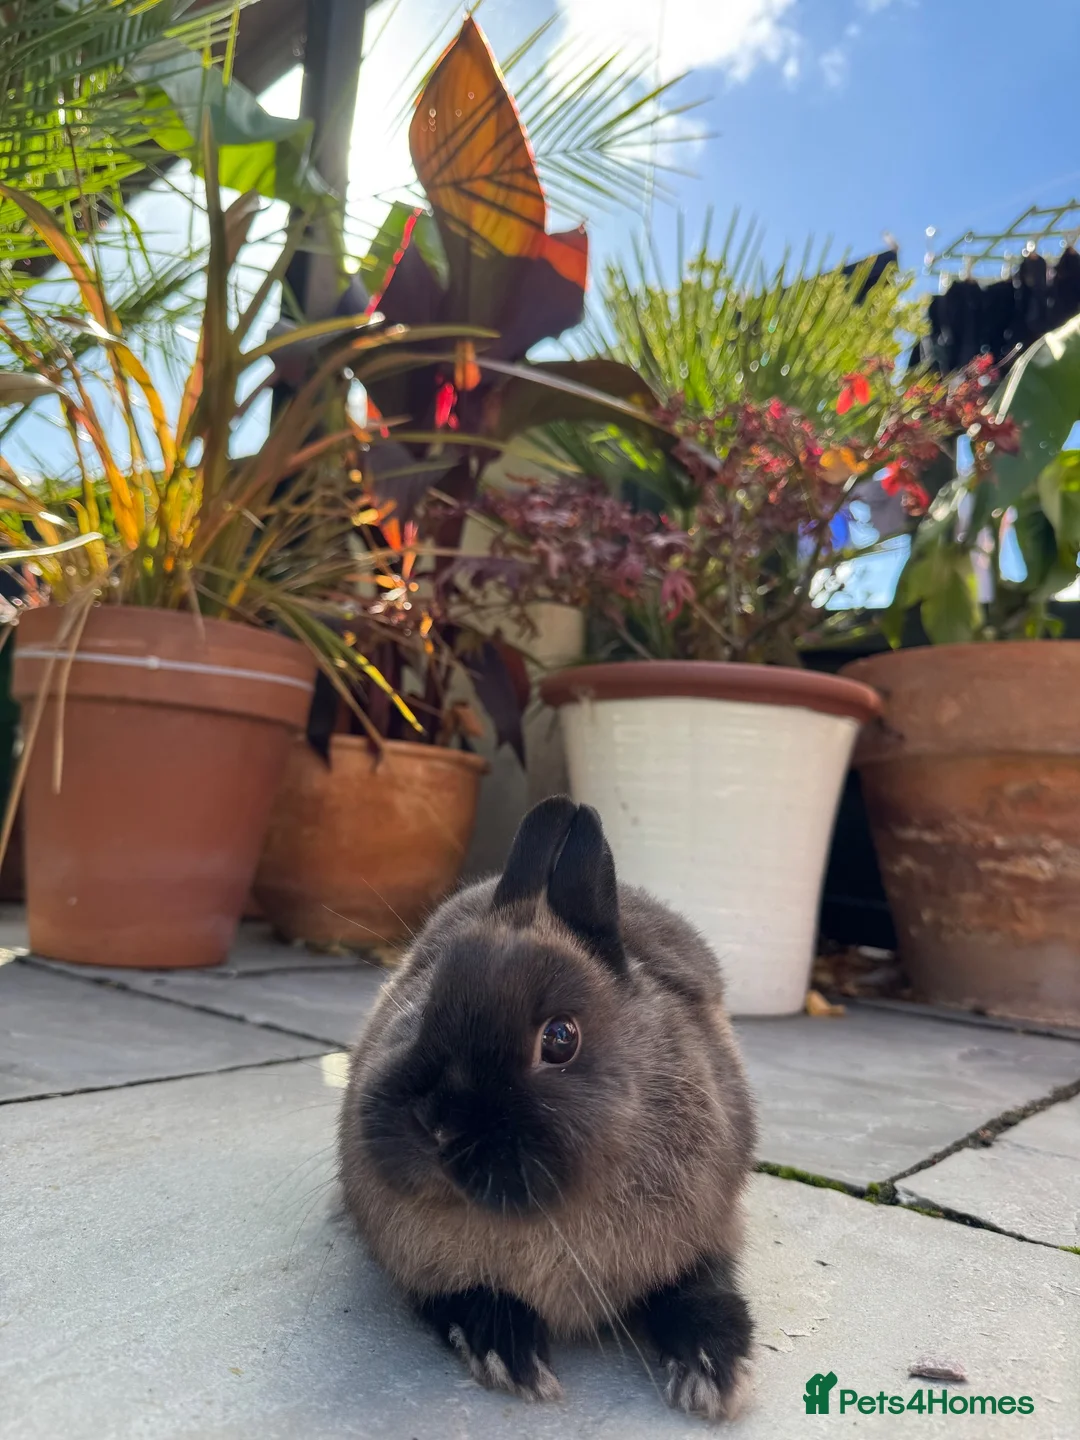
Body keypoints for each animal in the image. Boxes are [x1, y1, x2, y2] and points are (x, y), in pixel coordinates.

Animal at [338, 795, 758, 1422]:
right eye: (423, 1003)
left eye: (560, 1038)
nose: (438, 1126)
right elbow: (466, 1300)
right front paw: (509, 1355)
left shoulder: (709, 1231)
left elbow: (701, 1290)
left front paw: (713, 1374)